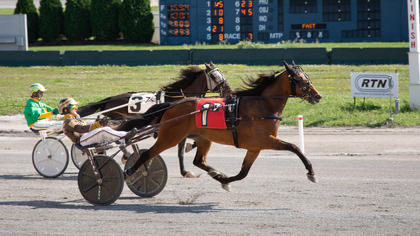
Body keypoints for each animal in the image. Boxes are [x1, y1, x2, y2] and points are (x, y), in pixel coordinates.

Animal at [117, 61, 322, 192]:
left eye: (306, 77)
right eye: (299, 78)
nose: (317, 95)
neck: (262, 105)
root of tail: (173, 104)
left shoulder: (255, 147)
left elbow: (242, 173)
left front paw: (225, 180)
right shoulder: (266, 140)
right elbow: (294, 147)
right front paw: (311, 172)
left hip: (203, 138)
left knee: (199, 161)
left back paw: (216, 173)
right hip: (169, 136)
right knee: (147, 155)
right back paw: (129, 172)